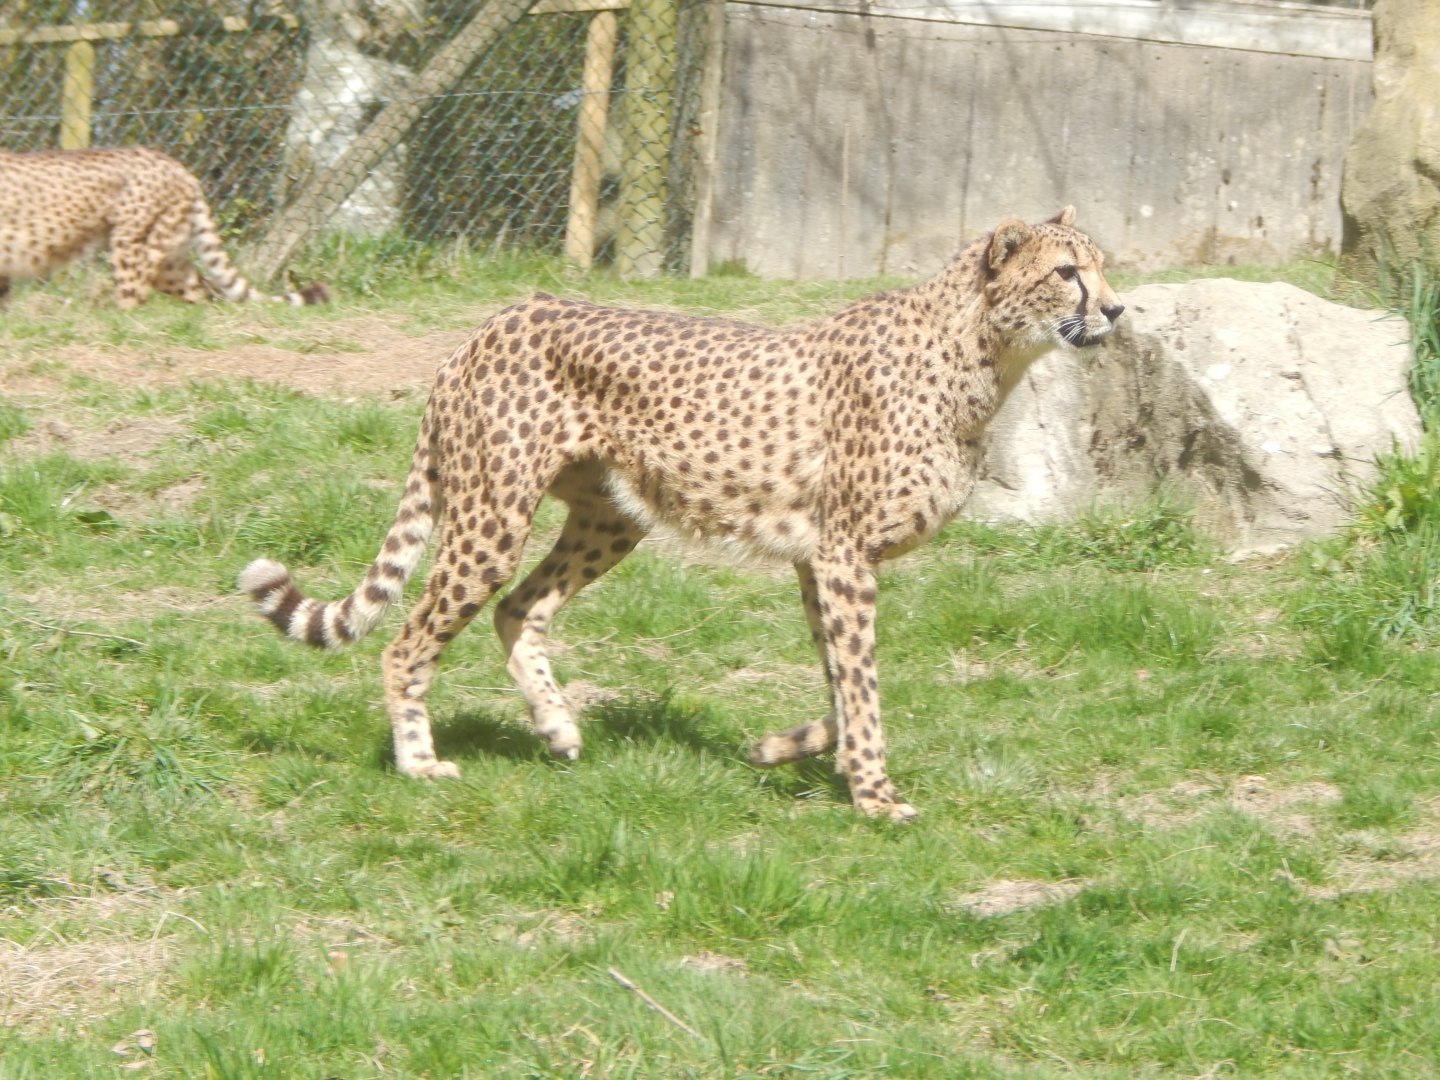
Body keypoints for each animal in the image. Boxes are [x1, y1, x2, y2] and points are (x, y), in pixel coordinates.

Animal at [239, 206, 1123, 821]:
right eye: (1068, 272)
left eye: (1105, 270)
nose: (1116, 312)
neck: (984, 355)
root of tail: (494, 321)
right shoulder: (843, 555)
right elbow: (864, 686)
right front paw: (876, 797)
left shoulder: (820, 559)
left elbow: (843, 684)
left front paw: (781, 750)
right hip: (492, 518)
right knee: (410, 639)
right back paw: (420, 763)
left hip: (613, 517)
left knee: (520, 608)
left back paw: (557, 727)